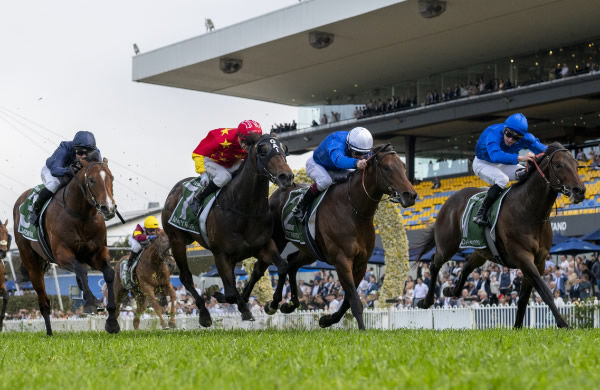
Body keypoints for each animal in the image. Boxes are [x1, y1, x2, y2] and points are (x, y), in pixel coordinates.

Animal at [12, 155, 119, 336]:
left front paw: (112, 322)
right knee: (43, 300)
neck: (81, 215)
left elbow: (109, 273)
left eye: (111, 178)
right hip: (31, 261)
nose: (109, 208)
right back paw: (49, 333)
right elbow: (82, 270)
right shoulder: (61, 254)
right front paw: (91, 303)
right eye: (91, 180)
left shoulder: (96, 252)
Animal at [162, 133, 296, 328]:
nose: (287, 176)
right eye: (262, 150)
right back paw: (204, 314)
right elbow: (232, 293)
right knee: (186, 278)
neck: (245, 209)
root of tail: (174, 190)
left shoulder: (263, 246)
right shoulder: (221, 254)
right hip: (176, 241)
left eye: (284, 148)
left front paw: (272, 304)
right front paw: (242, 308)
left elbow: (283, 267)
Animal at [250, 145, 418, 330]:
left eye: (403, 166)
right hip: (278, 240)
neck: (354, 210)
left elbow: (348, 300)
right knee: (265, 267)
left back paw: (289, 304)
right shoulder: (342, 260)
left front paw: (327, 320)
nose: (410, 195)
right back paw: (270, 304)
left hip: (310, 251)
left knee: (291, 264)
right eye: (387, 168)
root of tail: (276, 193)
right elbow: (354, 299)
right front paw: (363, 329)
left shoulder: (361, 263)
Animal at [418, 143, 584, 330]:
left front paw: (517, 327)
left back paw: (450, 290)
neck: (529, 210)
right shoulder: (522, 256)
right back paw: (425, 301)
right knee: (434, 264)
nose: (580, 190)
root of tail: (448, 201)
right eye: (558, 165)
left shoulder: (539, 261)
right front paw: (564, 324)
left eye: (576, 164)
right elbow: (544, 291)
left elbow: (524, 297)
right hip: (447, 245)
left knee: (466, 266)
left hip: (481, 251)